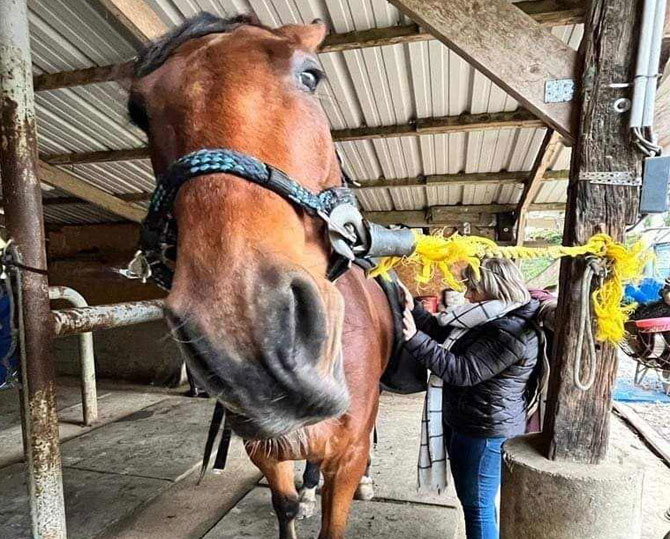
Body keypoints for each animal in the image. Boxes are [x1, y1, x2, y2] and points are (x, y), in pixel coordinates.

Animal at [127, 12, 394, 539]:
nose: (249, 336)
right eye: (138, 110)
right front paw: (301, 498)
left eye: (311, 76)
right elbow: (285, 506)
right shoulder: (265, 449)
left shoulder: (348, 456)